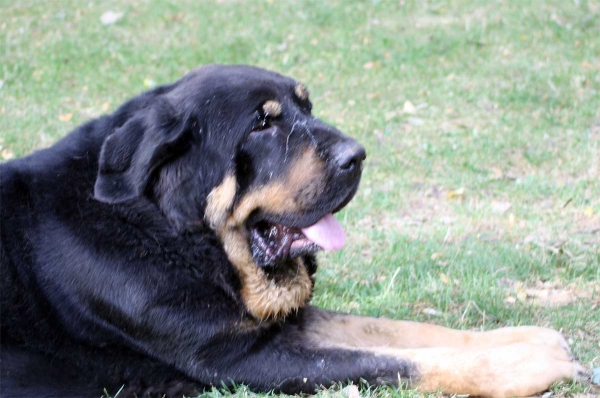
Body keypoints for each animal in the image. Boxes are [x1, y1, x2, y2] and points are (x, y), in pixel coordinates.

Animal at [0, 66, 588, 398]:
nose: (358, 155)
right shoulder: (241, 360)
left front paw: (526, 341)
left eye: (306, 105)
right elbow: (393, 361)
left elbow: (403, 331)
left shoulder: (282, 326)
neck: (174, 234)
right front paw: (527, 366)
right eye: (262, 124)